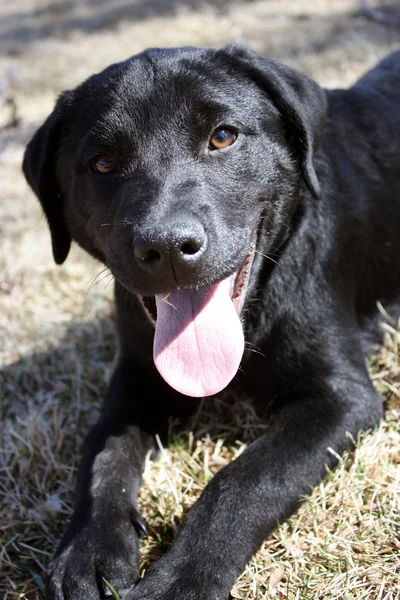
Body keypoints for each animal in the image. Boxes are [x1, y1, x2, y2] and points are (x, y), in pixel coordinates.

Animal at [23, 47, 400, 600]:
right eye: (102, 163)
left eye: (223, 136)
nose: (167, 248)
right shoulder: (136, 376)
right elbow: (103, 452)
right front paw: (88, 549)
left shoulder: (342, 397)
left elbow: (247, 479)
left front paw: (179, 578)